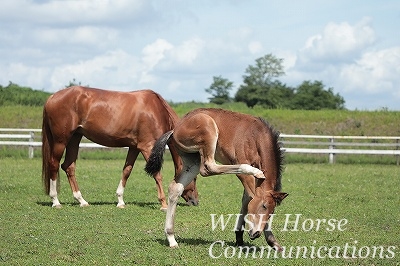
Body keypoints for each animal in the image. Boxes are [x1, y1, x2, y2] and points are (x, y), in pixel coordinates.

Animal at [42, 86, 198, 211]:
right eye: (195, 178)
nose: (196, 201)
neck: (156, 110)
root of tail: (52, 97)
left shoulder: (134, 147)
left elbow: (126, 171)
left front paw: (120, 201)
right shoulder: (147, 147)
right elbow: (157, 174)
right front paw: (164, 204)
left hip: (75, 138)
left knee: (68, 166)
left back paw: (82, 201)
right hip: (61, 141)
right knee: (54, 165)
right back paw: (55, 201)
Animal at [145, 107, 290, 249]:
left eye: (272, 212)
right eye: (264, 206)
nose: (256, 234)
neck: (255, 136)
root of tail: (175, 129)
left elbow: (246, 200)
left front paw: (244, 238)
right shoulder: (244, 175)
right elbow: (250, 197)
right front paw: (270, 241)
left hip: (192, 162)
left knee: (175, 188)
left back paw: (171, 238)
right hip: (208, 129)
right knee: (208, 167)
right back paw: (256, 171)